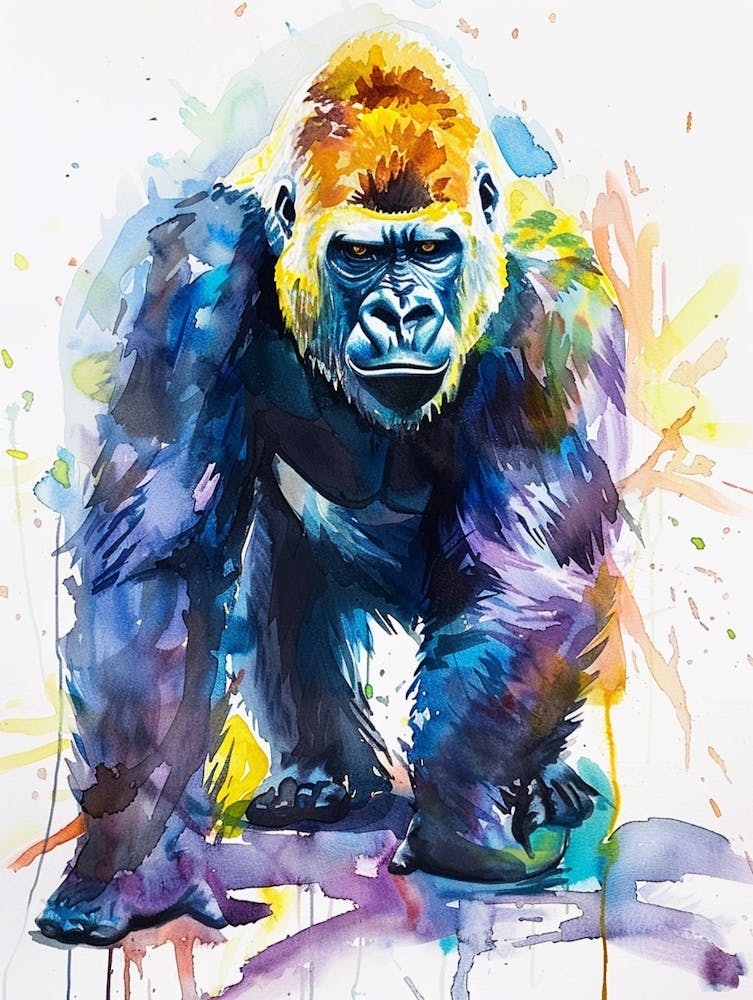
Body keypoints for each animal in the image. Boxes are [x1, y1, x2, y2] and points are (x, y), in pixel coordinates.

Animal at [37, 31, 626, 945]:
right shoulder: (191, 272)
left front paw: (463, 821)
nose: (400, 314)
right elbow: (161, 557)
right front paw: (132, 860)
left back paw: (542, 781)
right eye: (359, 255)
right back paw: (324, 777)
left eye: (430, 251)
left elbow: (524, 574)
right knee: (287, 573)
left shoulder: (553, 304)